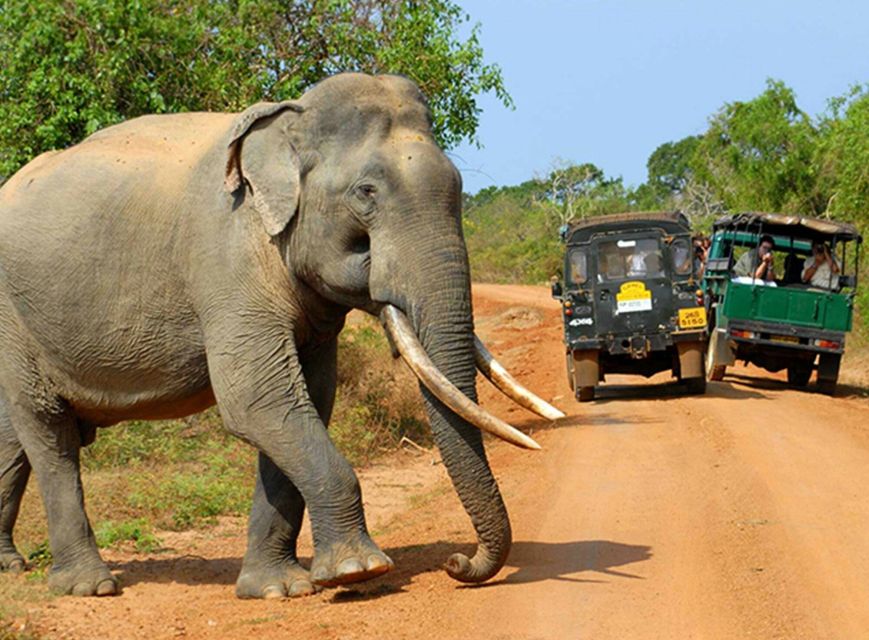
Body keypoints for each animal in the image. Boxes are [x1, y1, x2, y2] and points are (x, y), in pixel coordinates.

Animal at [0, 72, 560, 596]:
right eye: (366, 193)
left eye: (459, 187)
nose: (457, 563)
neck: (288, 122)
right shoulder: (226, 259)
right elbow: (258, 400)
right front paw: (358, 571)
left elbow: (305, 399)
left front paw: (277, 588)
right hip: (13, 315)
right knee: (49, 432)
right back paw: (89, 585)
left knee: (13, 437)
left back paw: (11, 566)